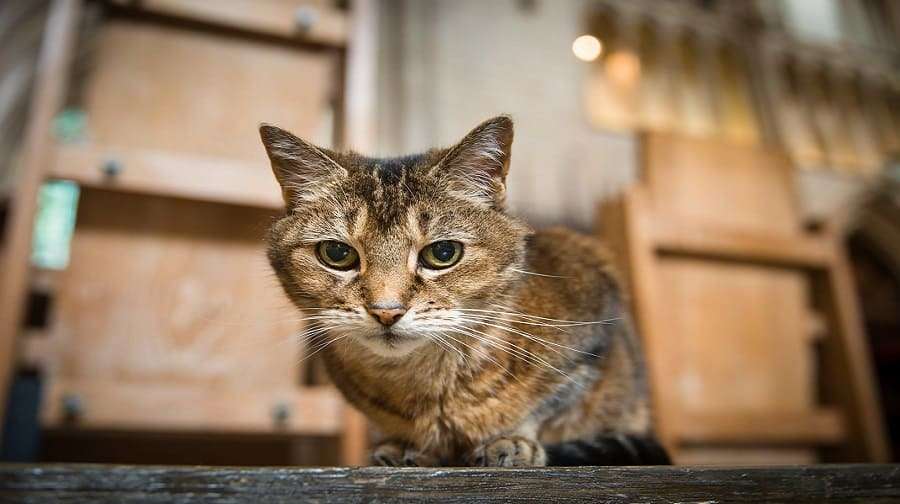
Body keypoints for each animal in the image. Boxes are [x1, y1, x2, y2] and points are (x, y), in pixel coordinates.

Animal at [260, 116, 668, 466]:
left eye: (442, 253)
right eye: (337, 254)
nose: (386, 310)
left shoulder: (593, 331)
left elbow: (546, 407)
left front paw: (511, 442)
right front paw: (401, 447)